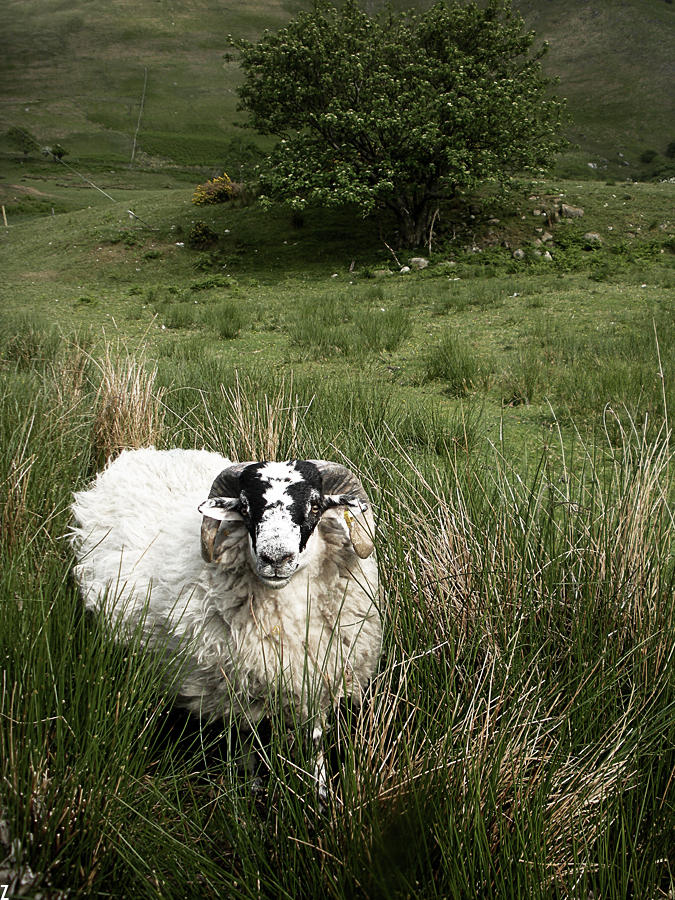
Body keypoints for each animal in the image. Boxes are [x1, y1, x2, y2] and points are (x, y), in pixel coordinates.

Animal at [72, 450, 386, 796]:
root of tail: (137, 453)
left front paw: (322, 797)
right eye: (245, 507)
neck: (287, 619)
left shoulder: (318, 679)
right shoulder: (234, 690)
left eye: (316, 506)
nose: (275, 559)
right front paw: (251, 789)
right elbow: (246, 743)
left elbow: (315, 744)